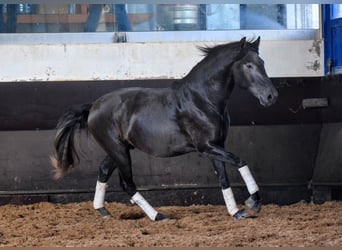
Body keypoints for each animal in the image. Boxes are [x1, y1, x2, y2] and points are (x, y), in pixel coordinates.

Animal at [50, 36, 278, 221]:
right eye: (248, 65)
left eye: (262, 63)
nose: (271, 96)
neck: (203, 100)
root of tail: (93, 106)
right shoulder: (206, 147)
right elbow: (240, 161)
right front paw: (253, 202)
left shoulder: (217, 145)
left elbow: (223, 178)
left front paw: (236, 212)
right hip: (119, 151)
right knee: (127, 184)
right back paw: (158, 216)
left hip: (118, 149)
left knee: (104, 170)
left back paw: (103, 211)